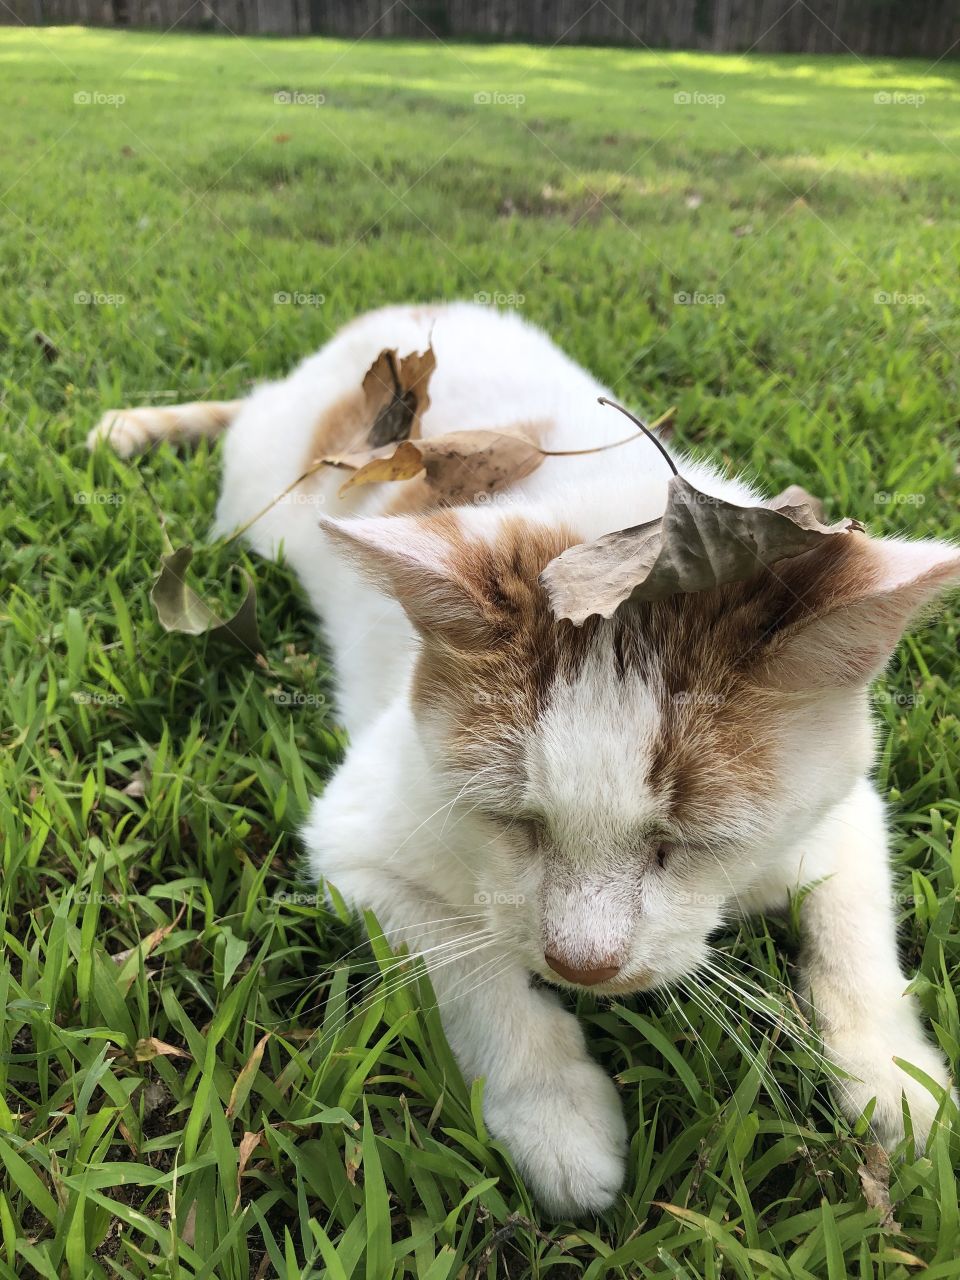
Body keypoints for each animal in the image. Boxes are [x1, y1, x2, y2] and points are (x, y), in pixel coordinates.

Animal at [86, 302, 957, 1218]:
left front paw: (897, 1084)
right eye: (516, 823)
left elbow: (855, 936)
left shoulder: (847, 813)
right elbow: (466, 964)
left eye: (690, 843)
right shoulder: (355, 844)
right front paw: (555, 1114)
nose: (583, 965)